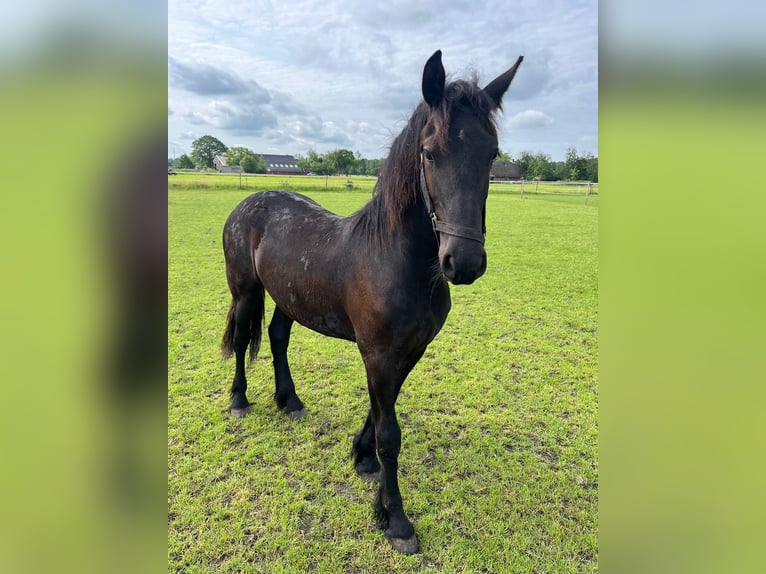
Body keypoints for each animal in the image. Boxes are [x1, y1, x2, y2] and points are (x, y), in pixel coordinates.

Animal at [221, 50, 523, 554]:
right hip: (245, 292)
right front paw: (396, 519)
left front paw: (363, 460)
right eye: (429, 153)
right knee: (244, 337)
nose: (463, 262)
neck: (396, 261)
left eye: (492, 153)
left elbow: (382, 411)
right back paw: (240, 401)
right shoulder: (378, 353)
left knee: (277, 337)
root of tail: (248, 202)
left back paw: (290, 400)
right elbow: (390, 433)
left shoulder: (407, 351)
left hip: (288, 298)